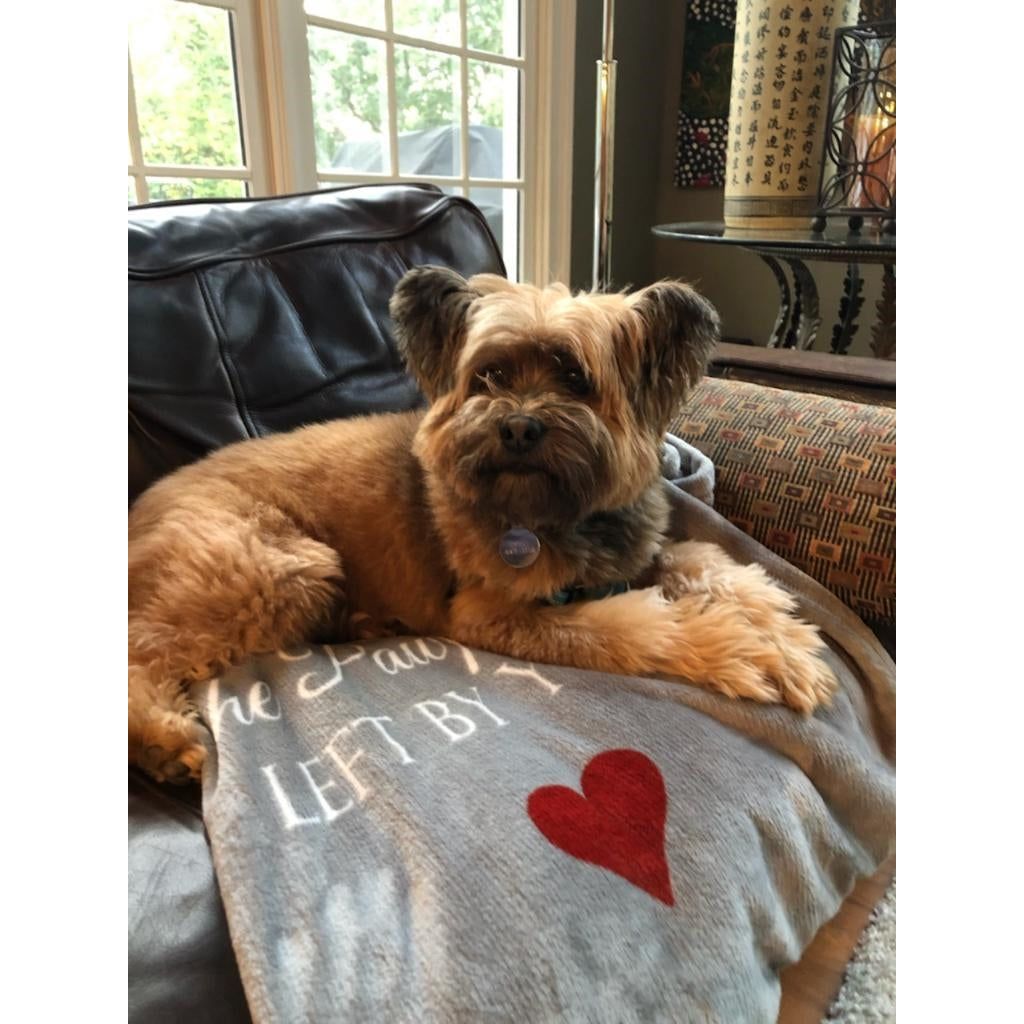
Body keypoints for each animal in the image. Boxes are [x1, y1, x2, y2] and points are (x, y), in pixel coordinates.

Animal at [130, 268, 831, 778]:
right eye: (489, 375)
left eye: (574, 377)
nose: (517, 426)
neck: (554, 515)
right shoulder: (490, 612)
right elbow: (634, 627)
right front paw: (741, 649)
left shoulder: (633, 551)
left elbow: (701, 560)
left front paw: (780, 635)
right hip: (278, 567)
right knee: (142, 648)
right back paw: (161, 741)